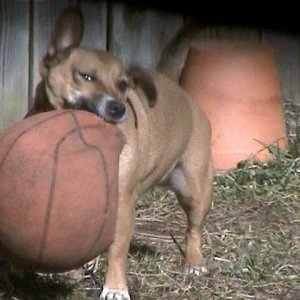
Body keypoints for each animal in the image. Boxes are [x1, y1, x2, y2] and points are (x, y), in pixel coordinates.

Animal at [27, 7, 212, 300]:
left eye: (123, 85)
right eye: (86, 76)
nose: (118, 108)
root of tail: (177, 89)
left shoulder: (122, 203)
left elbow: (116, 250)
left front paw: (114, 288)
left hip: (193, 188)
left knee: (193, 229)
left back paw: (194, 263)